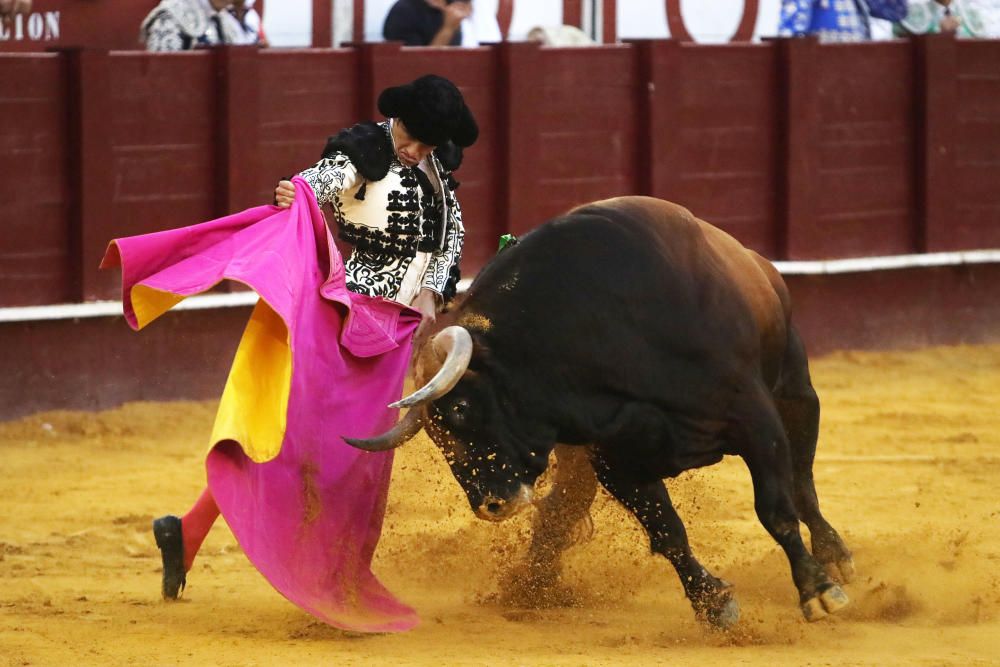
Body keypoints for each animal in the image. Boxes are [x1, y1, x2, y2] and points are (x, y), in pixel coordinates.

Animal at [344, 196, 852, 628]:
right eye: (435, 436)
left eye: (464, 409)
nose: (490, 505)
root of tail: (756, 261)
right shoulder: (613, 460)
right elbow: (667, 532)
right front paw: (713, 603)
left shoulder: (754, 421)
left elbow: (777, 508)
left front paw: (816, 591)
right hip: (577, 459)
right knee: (560, 510)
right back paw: (531, 583)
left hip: (796, 392)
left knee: (803, 481)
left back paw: (835, 557)